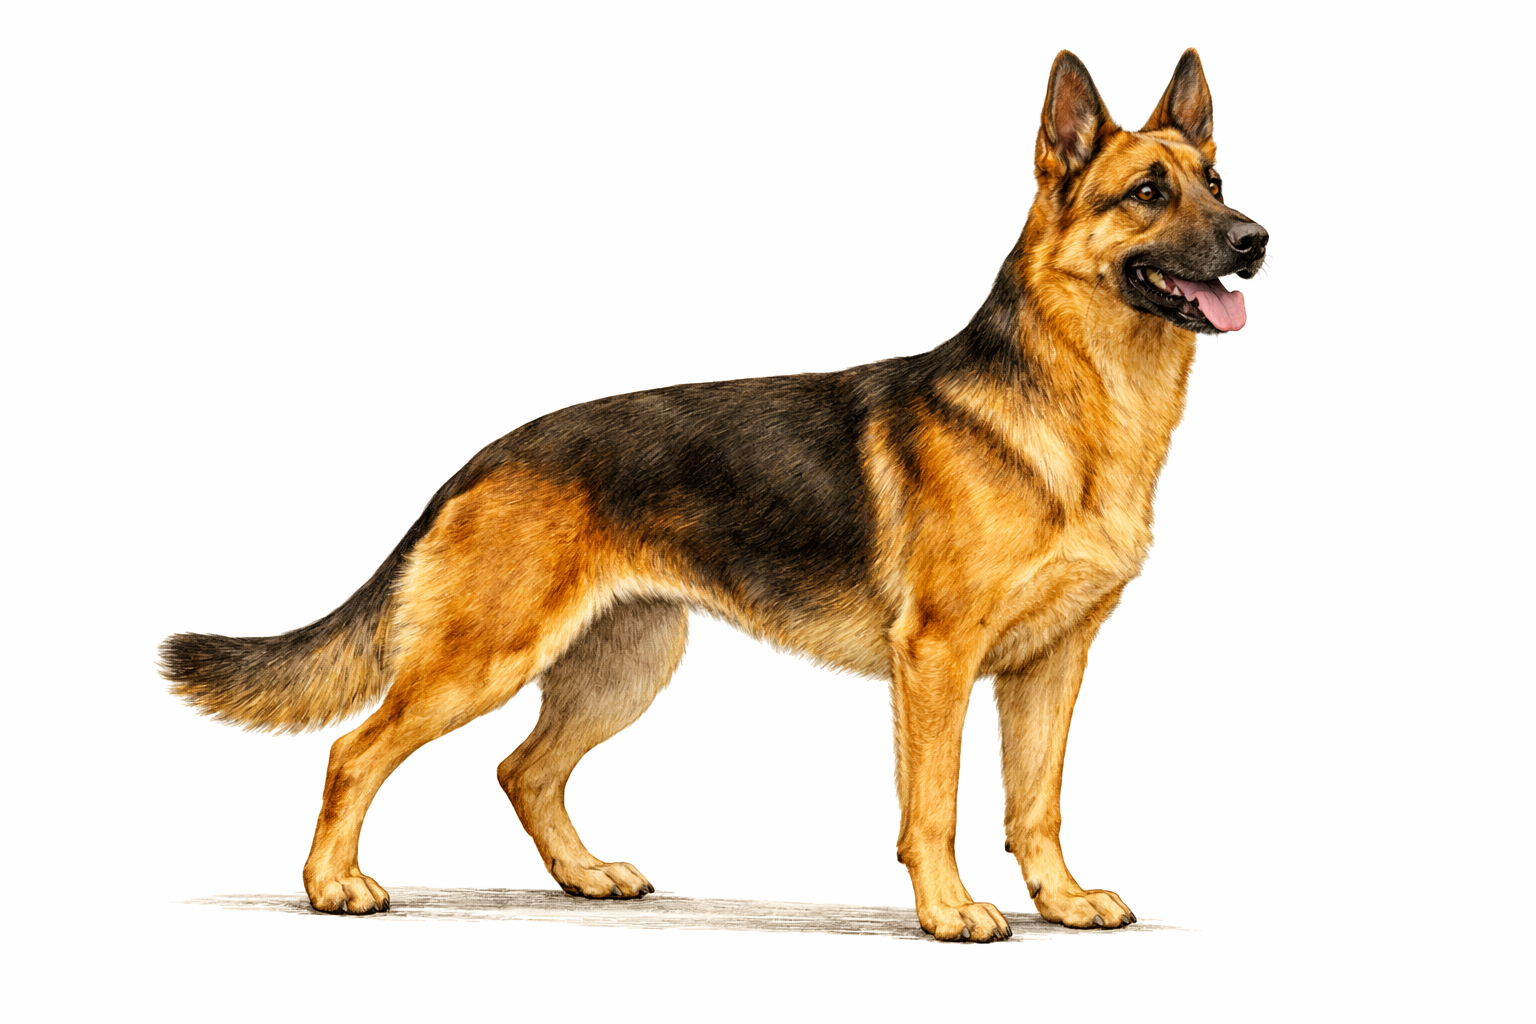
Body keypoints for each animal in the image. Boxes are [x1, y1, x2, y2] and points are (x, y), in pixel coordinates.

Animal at [162, 48, 1266, 942]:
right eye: (1148, 192)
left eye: (1215, 181)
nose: (1256, 239)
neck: (1078, 407)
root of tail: (482, 459)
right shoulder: (938, 660)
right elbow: (936, 804)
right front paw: (949, 912)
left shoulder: (1052, 663)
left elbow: (1037, 801)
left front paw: (1062, 900)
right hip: (481, 663)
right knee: (355, 751)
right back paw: (332, 885)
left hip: (628, 666)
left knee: (523, 769)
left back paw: (584, 874)